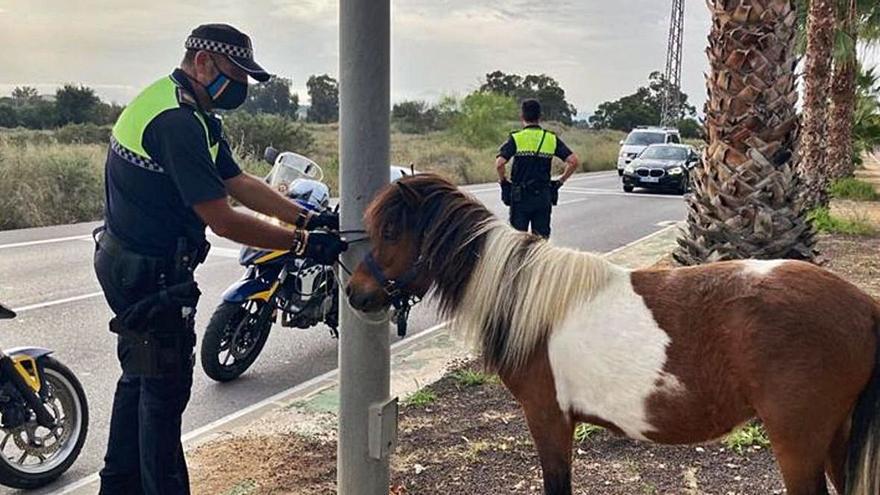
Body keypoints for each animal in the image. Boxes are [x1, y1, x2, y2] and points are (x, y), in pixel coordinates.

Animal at [344, 175, 880, 495]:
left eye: (390, 232)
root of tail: (864, 306)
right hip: (834, 439)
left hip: (799, 443)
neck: (527, 295)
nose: (355, 292)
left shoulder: (549, 419)